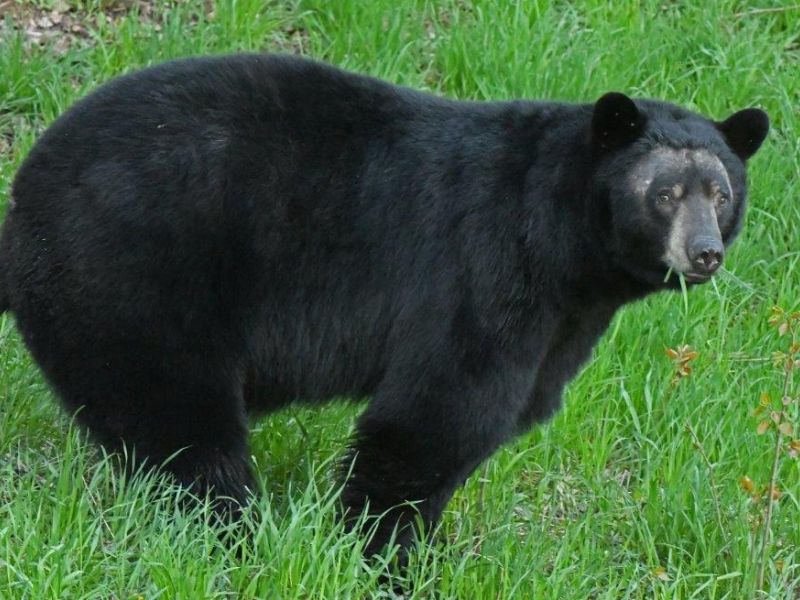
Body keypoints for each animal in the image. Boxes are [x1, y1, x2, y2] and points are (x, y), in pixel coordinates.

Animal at [0, 54, 768, 556]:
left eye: (721, 191)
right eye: (664, 192)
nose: (705, 252)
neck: (565, 247)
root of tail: (20, 209)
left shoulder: (563, 321)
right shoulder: (485, 270)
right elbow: (437, 411)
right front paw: (387, 551)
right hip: (137, 278)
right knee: (180, 427)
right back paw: (233, 531)